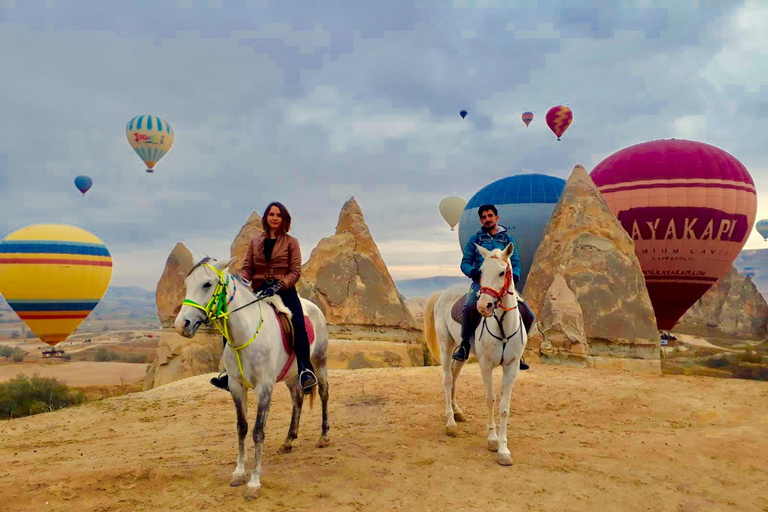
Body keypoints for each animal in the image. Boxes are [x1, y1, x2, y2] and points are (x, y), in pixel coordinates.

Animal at [176, 258, 332, 498]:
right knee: (297, 399)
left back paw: (323, 436)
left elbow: (258, 431)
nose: (181, 324)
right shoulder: (236, 386)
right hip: (290, 375)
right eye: (186, 284)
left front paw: (254, 482)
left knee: (323, 393)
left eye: (207, 284)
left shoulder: (264, 388)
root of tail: (314, 307)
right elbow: (242, 427)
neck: (246, 333)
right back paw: (288, 440)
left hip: (319, 361)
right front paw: (239, 473)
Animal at [424, 243, 524, 464]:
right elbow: (490, 399)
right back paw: (450, 422)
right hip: (446, 345)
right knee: (447, 379)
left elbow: (504, 406)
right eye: (481, 272)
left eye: (502, 272)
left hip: (463, 353)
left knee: (454, 376)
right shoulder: (485, 364)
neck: (503, 326)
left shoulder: (512, 367)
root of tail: (444, 292)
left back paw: (458, 412)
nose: (483, 306)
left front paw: (504, 450)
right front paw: (492, 440)